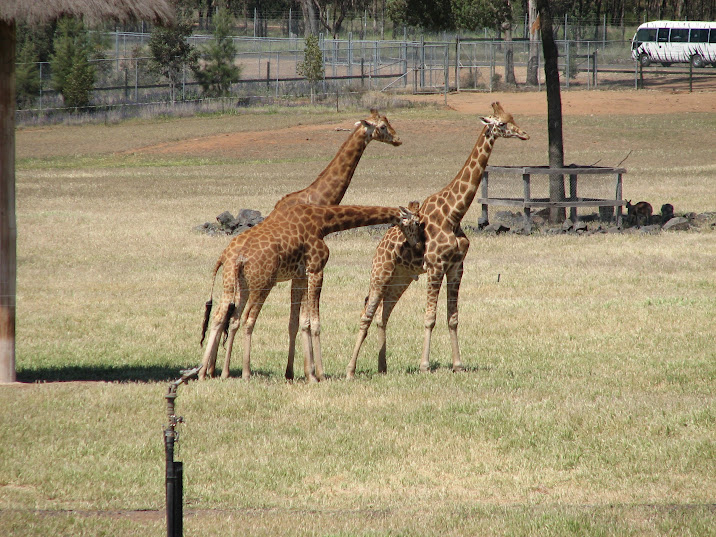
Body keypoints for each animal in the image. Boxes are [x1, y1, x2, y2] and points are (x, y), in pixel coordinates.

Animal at [199, 203, 421, 382]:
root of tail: (233, 257)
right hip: (262, 283)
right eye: (418, 223)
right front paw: (320, 374)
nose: (419, 244)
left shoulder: (302, 275)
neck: (323, 222)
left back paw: (212, 373)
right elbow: (315, 322)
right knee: (247, 319)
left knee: (225, 317)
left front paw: (308, 373)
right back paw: (244, 373)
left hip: (236, 284)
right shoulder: (316, 270)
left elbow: (303, 321)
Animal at [346, 102, 530, 378]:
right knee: (366, 314)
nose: (524, 134)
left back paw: (382, 368)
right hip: (380, 273)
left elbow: (452, 318)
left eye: (513, 119)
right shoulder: (435, 267)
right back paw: (350, 370)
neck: (454, 214)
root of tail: (379, 245)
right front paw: (424, 365)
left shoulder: (456, 267)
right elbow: (429, 318)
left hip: (400, 278)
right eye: (502, 123)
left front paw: (458, 365)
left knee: (383, 315)